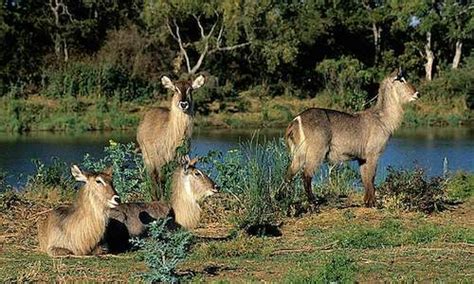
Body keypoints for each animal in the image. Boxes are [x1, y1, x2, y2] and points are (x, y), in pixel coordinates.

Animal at [286, 69, 418, 206]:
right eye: (402, 80)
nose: (417, 93)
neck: (382, 118)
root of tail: (296, 119)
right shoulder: (373, 153)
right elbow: (371, 177)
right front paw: (372, 203)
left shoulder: (362, 158)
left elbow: (365, 178)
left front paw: (367, 201)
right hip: (316, 152)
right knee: (306, 174)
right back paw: (313, 200)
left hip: (299, 153)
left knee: (289, 174)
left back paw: (286, 197)